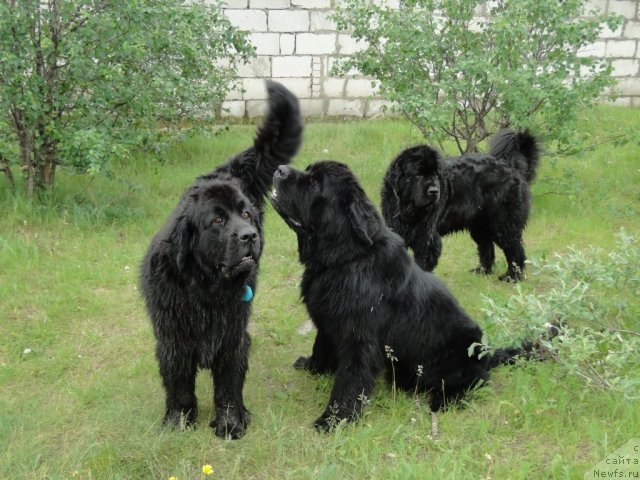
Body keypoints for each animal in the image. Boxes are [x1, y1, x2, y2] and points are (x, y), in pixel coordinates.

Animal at [139, 82, 302, 438]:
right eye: (217, 220)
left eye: (246, 215)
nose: (249, 236)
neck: (205, 288)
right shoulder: (173, 336)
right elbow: (179, 382)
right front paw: (179, 419)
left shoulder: (232, 333)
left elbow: (228, 383)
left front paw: (230, 422)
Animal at [268, 161, 528, 432]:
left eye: (314, 183)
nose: (280, 169)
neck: (345, 258)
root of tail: (487, 354)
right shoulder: (329, 321)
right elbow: (321, 346)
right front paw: (312, 367)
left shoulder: (359, 339)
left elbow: (349, 380)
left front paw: (334, 420)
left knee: (475, 380)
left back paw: (443, 400)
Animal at [380, 130, 540, 282]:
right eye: (418, 174)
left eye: (436, 175)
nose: (434, 191)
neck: (408, 206)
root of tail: (513, 168)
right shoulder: (397, 228)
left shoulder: (426, 236)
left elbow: (422, 262)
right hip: (479, 224)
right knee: (486, 246)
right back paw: (482, 271)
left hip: (503, 224)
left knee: (515, 249)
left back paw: (512, 276)